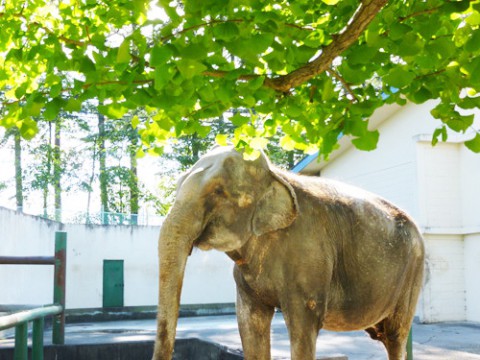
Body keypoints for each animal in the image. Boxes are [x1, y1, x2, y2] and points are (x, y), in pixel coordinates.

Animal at [153, 146, 424, 360]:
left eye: (218, 191)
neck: (276, 174)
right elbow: (249, 324)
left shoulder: (309, 252)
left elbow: (302, 324)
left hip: (413, 271)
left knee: (395, 335)